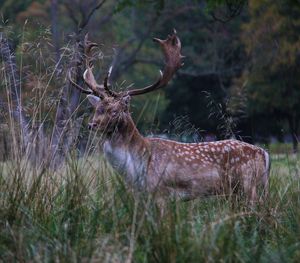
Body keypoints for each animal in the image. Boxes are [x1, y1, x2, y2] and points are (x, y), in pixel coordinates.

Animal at [69, 31, 270, 207]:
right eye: (96, 109)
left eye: (114, 111)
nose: (92, 124)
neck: (136, 164)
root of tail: (264, 154)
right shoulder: (140, 196)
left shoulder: (160, 191)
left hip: (248, 184)